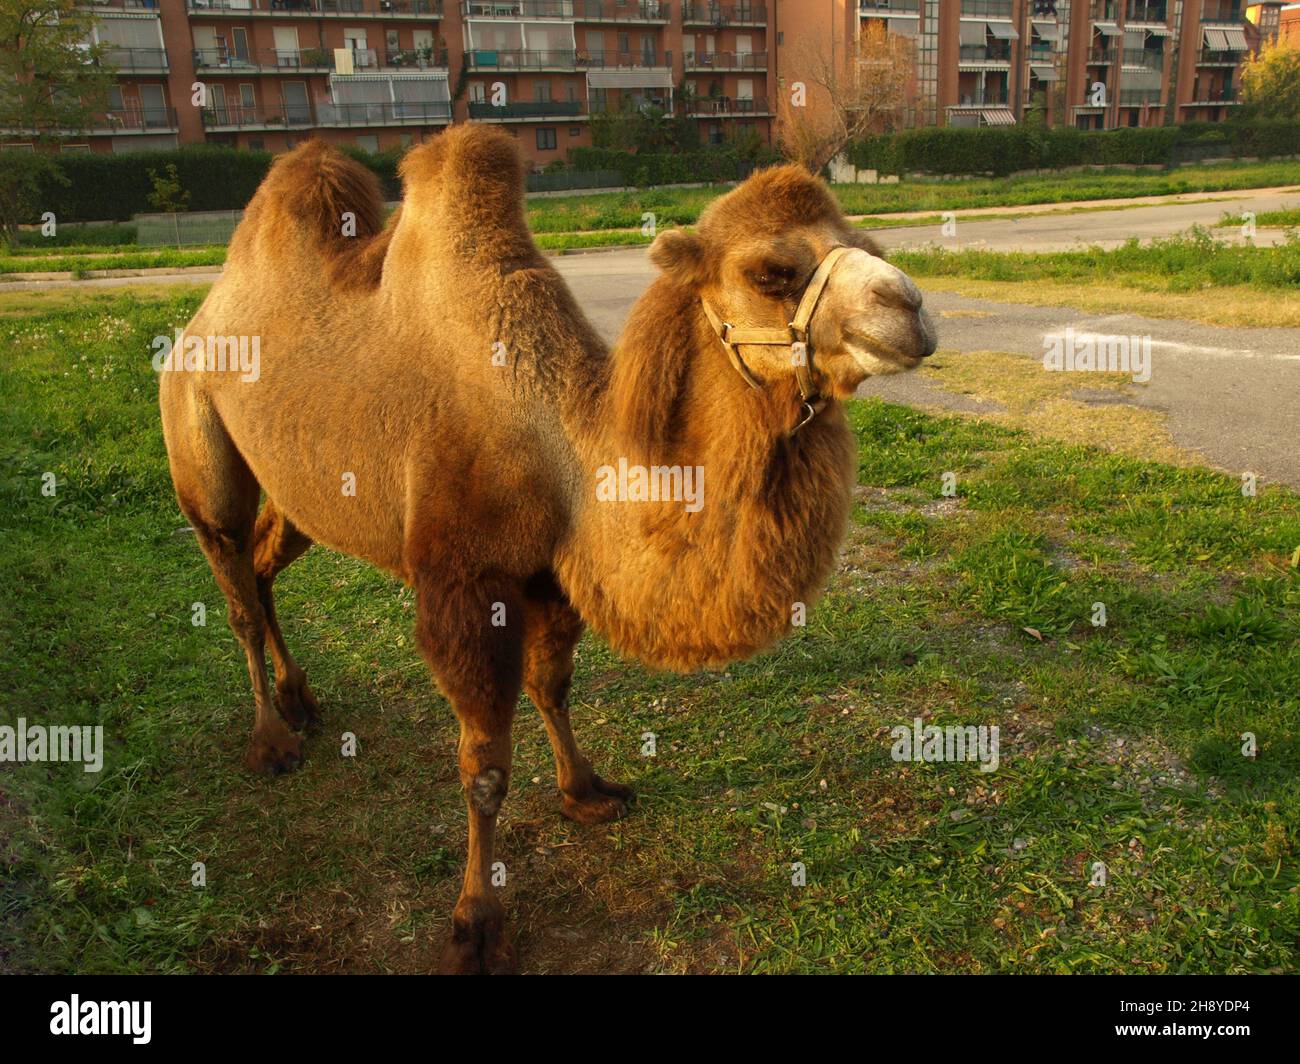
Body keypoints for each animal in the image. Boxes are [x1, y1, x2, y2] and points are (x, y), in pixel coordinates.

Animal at [159, 124, 935, 967]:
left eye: (873, 245)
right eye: (772, 271)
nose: (910, 307)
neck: (565, 447)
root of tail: (203, 312)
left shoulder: (552, 575)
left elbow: (552, 686)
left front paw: (587, 791)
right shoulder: (465, 582)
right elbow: (485, 767)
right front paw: (475, 922)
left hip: (304, 489)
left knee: (265, 565)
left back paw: (301, 700)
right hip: (195, 427)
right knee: (233, 576)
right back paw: (270, 739)